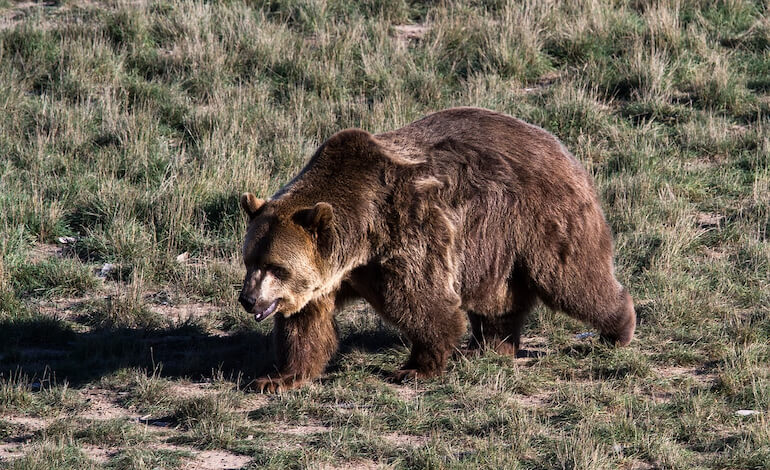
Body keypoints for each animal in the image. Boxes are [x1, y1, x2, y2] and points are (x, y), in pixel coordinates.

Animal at [238, 107, 636, 393]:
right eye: (250, 261)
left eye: (277, 267)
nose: (249, 299)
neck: (360, 238)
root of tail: (559, 145)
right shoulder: (326, 279)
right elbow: (305, 326)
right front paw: (277, 378)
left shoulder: (405, 233)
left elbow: (424, 303)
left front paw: (415, 368)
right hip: (494, 244)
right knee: (498, 299)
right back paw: (490, 345)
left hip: (540, 218)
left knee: (572, 279)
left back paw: (618, 329)